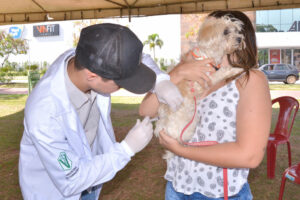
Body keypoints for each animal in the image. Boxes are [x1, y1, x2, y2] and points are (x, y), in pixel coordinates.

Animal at [155, 15, 246, 159]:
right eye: (226, 31)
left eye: (237, 30)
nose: (240, 38)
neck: (207, 55)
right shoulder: (206, 79)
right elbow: (223, 71)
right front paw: (237, 69)